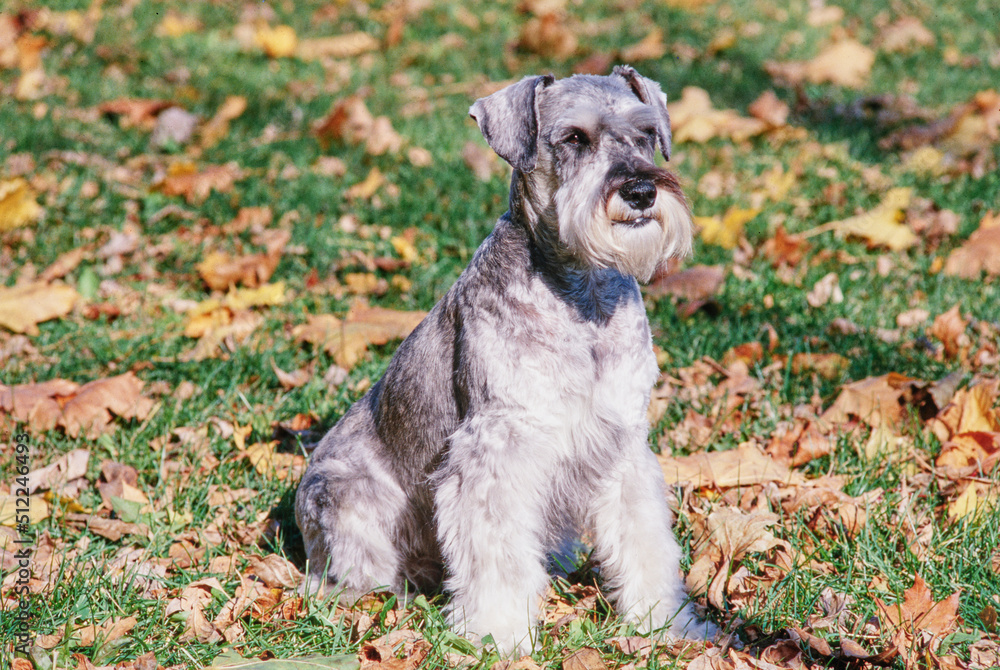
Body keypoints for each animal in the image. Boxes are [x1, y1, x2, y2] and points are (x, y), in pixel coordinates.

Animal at [292, 64, 716, 656]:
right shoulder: (497, 449)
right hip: (345, 501)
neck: (581, 297)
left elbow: (645, 537)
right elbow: (495, 554)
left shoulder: (624, 444)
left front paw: (666, 623)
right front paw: (498, 636)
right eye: (574, 138)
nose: (640, 190)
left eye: (646, 133)